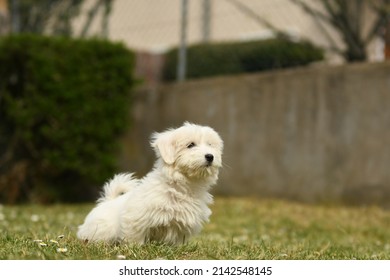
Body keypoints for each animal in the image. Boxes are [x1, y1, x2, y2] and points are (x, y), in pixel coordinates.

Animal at [77, 122, 222, 245]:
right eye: (190, 145)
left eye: (210, 145)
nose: (210, 156)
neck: (183, 185)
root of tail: (107, 201)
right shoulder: (135, 218)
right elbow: (134, 236)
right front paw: (135, 247)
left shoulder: (182, 226)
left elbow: (177, 240)